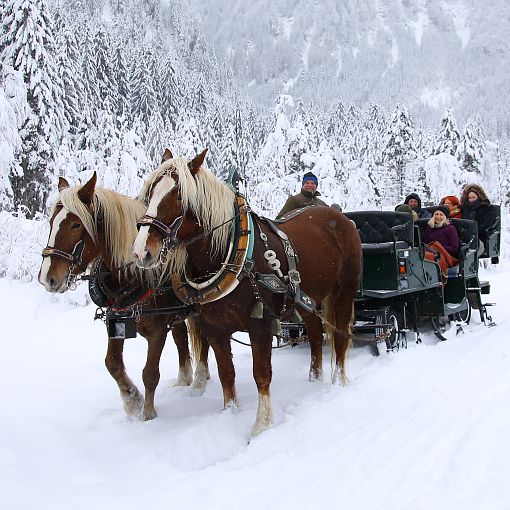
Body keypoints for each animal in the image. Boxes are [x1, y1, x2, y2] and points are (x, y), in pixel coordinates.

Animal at [37, 173, 209, 420]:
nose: (47, 278)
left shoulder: (158, 330)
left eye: (76, 224)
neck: (133, 275)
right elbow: (112, 363)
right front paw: (132, 400)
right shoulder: (116, 321)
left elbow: (150, 373)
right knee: (181, 339)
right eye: (51, 222)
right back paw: (184, 379)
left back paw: (200, 381)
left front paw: (148, 414)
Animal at [131, 147, 362, 434]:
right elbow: (226, 372)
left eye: (179, 196)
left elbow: (261, 373)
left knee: (340, 335)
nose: (141, 251)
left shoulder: (260, 324)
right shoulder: (215, 328)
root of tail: (342, 219)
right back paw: (314, 378)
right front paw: (229, 412)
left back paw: (338, 381)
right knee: (315, 334)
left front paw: (262, 424)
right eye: (149, 193)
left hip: (344, 291)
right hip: (306, 298)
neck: (229, 254)